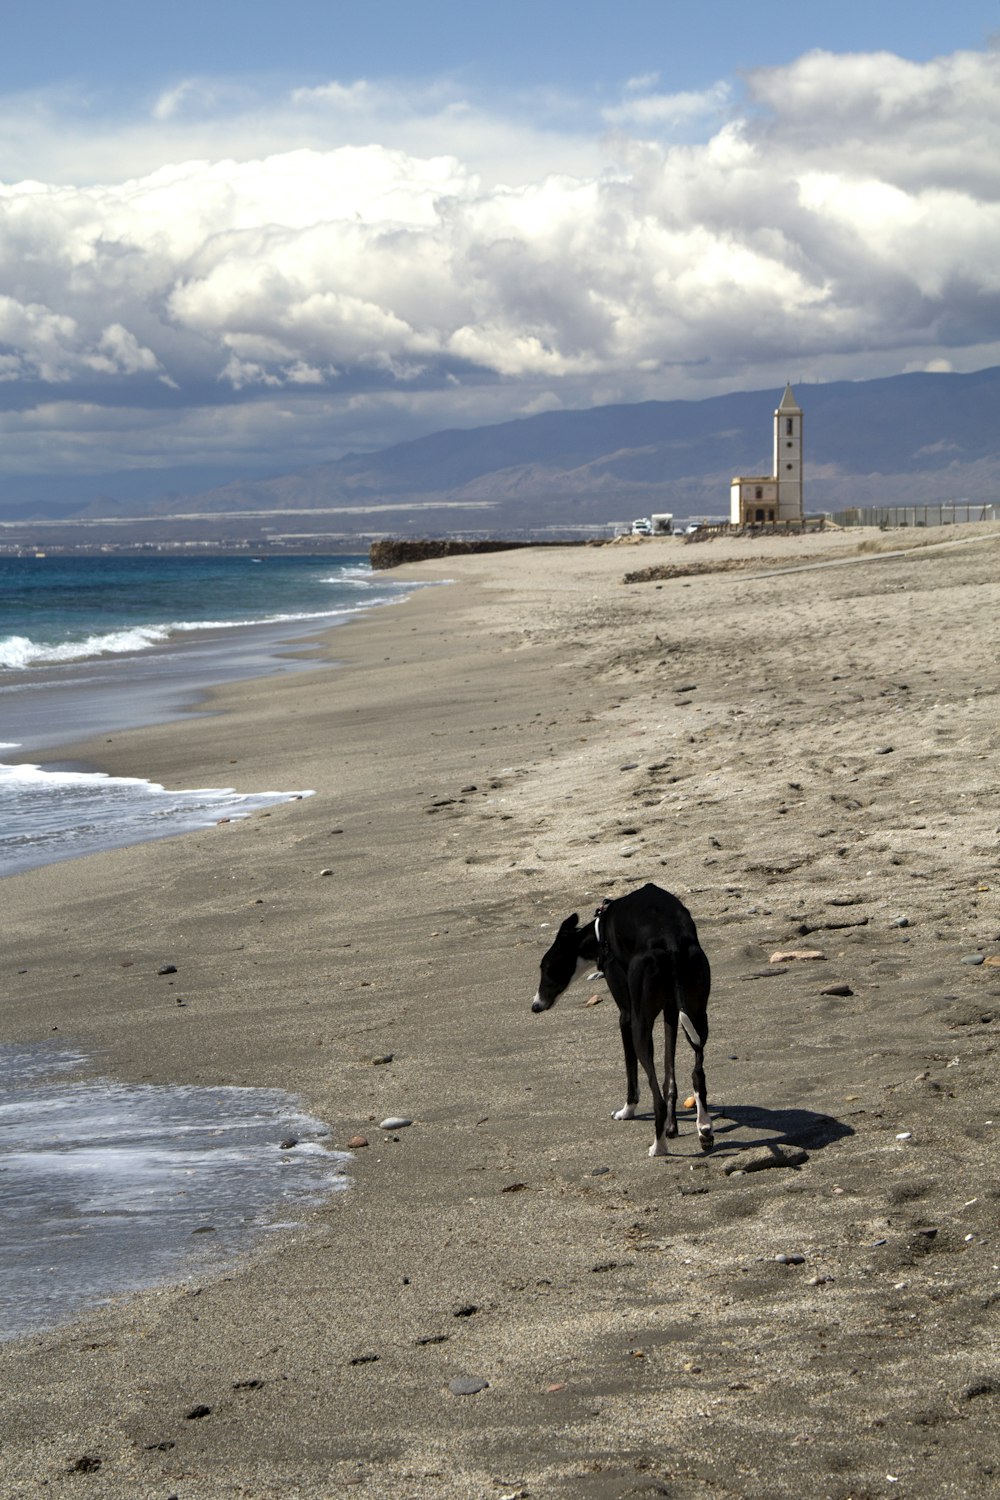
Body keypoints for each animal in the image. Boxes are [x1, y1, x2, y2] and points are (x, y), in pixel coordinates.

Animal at [530, 882, 710, 1152]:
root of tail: (671, 940)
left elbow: (631, 1072)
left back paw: (658, 1147)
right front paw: (673, 1128)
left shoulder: (625, 1016)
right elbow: (670, 1077)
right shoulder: (670, 1012)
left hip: (640, 1025)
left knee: (656, 1095)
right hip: (697, 1016)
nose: (535, 1006)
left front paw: (627, 1111)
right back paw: (704, 1129)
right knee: (697, 1075)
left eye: (547, 968)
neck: (599, 933)